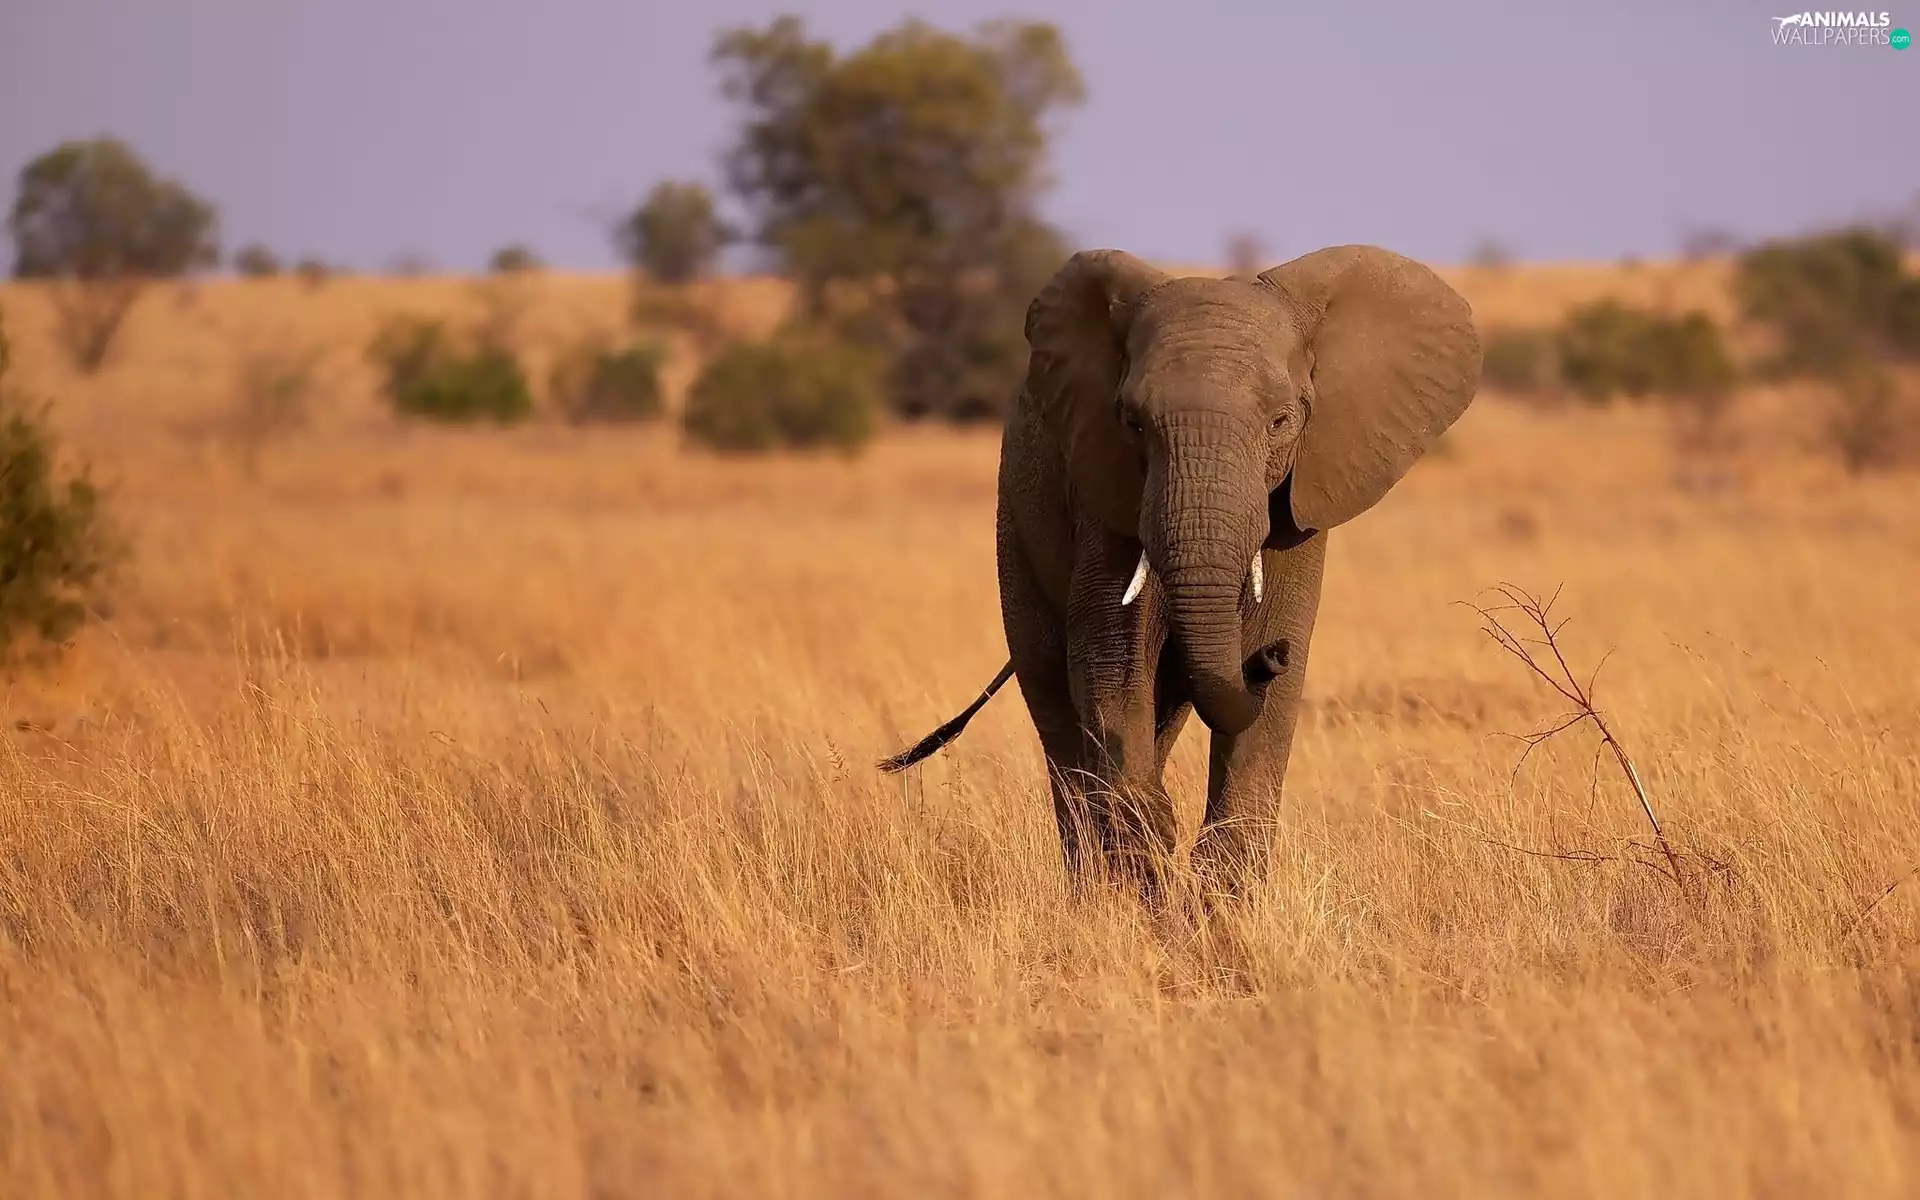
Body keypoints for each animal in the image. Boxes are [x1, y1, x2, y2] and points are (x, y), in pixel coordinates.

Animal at [880, 244, 1481, 899]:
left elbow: (1272, 692)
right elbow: (1110, 659)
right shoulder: (1105, 485)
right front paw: (1152, 849)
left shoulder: (1305, 496)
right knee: (1053, 695)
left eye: (1282, 421)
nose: (1266, 658)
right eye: (1132, 422)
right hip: (1014, 525)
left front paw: (1217, 900)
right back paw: (1096, 885)